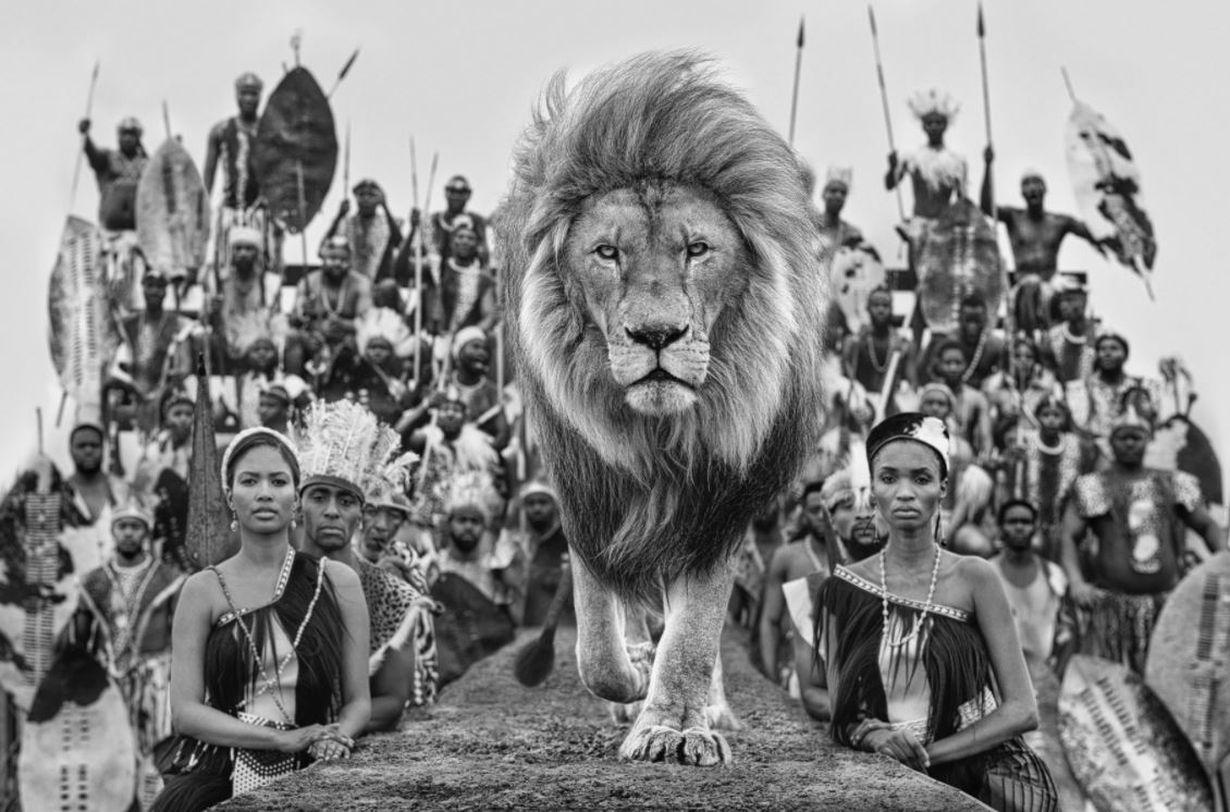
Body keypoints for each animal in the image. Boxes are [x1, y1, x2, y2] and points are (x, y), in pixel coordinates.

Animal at [496, 52, 826, 767]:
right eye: (607, 252)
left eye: (696, 250)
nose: (656, 335)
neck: (659, 435)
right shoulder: (587, 495)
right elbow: (596, 641)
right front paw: (634, 681)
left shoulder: (718, 501)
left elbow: (696, 630)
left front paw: (677, 725)